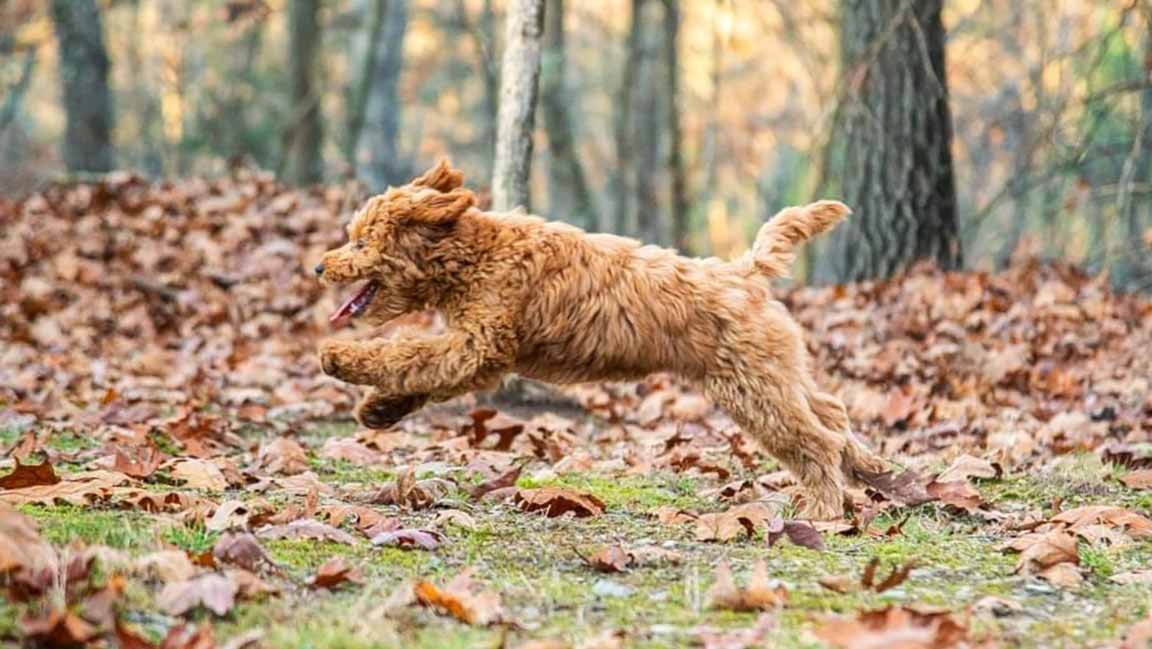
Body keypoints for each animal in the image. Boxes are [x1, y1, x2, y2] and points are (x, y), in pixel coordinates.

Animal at [317, 159, 889, 518]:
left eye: (362, 242)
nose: (321, 265)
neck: (477, 252)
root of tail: (745, 273)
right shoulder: (474, 351)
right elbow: (419, 371)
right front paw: (378, 410)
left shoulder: (479, 345)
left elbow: (408, 355)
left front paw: (339, 358)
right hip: (778, 373)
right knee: (832, 414)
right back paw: (871, 469)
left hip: (754, 388)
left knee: (815, 439)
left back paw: (822, 508)